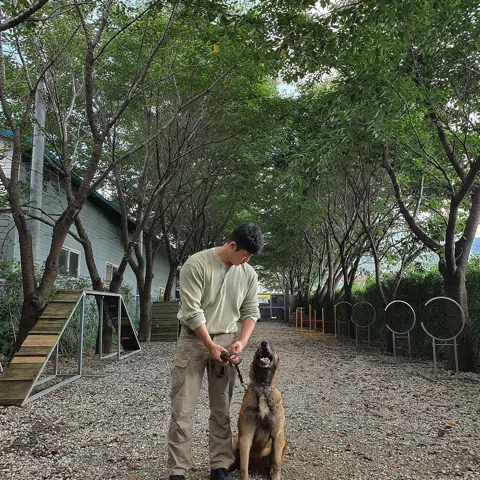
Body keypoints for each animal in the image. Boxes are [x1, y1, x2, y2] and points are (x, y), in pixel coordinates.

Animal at [230, 341, 287, 480]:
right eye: (257, 349)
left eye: (272, 346)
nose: (264, 343)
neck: (262, 387)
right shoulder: (245, 436)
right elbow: (244, 466)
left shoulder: (278, 434)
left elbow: (276, 462)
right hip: (235, 438)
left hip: (284, 441)